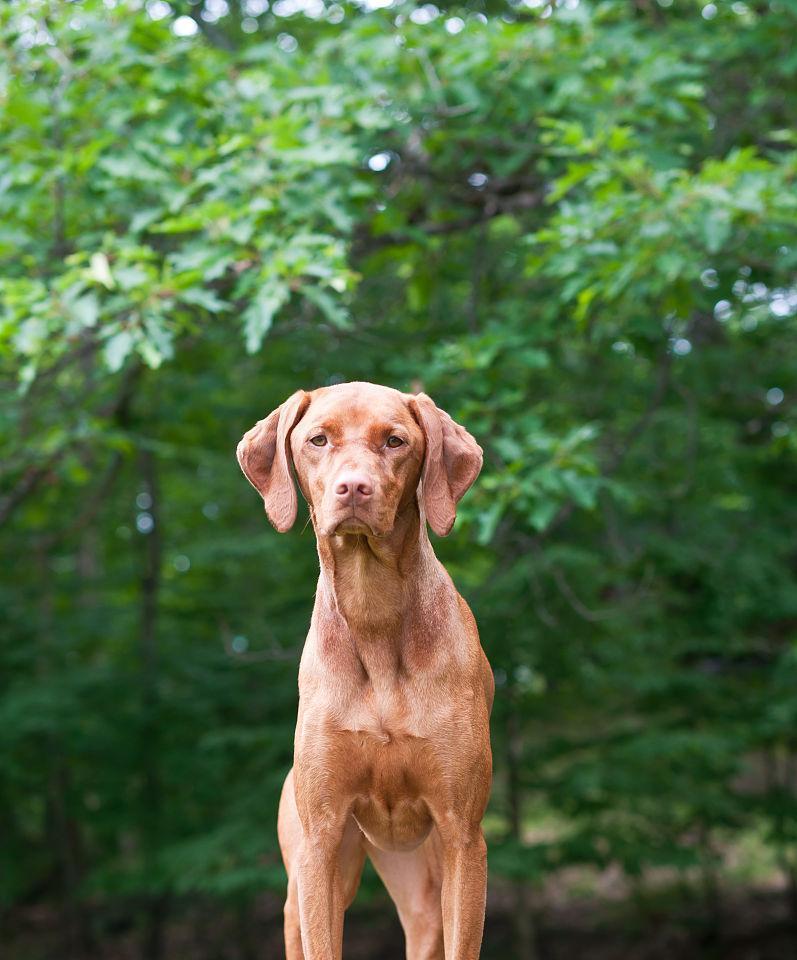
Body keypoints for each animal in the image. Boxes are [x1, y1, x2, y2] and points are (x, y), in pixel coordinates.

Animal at [236, 382, 492, 960]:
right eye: (318, 439)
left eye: (395, 441)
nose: (354, 488)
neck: (374, 613)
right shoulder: (322, 840)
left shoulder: (463, 835)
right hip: (303, 888)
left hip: (422, 885)